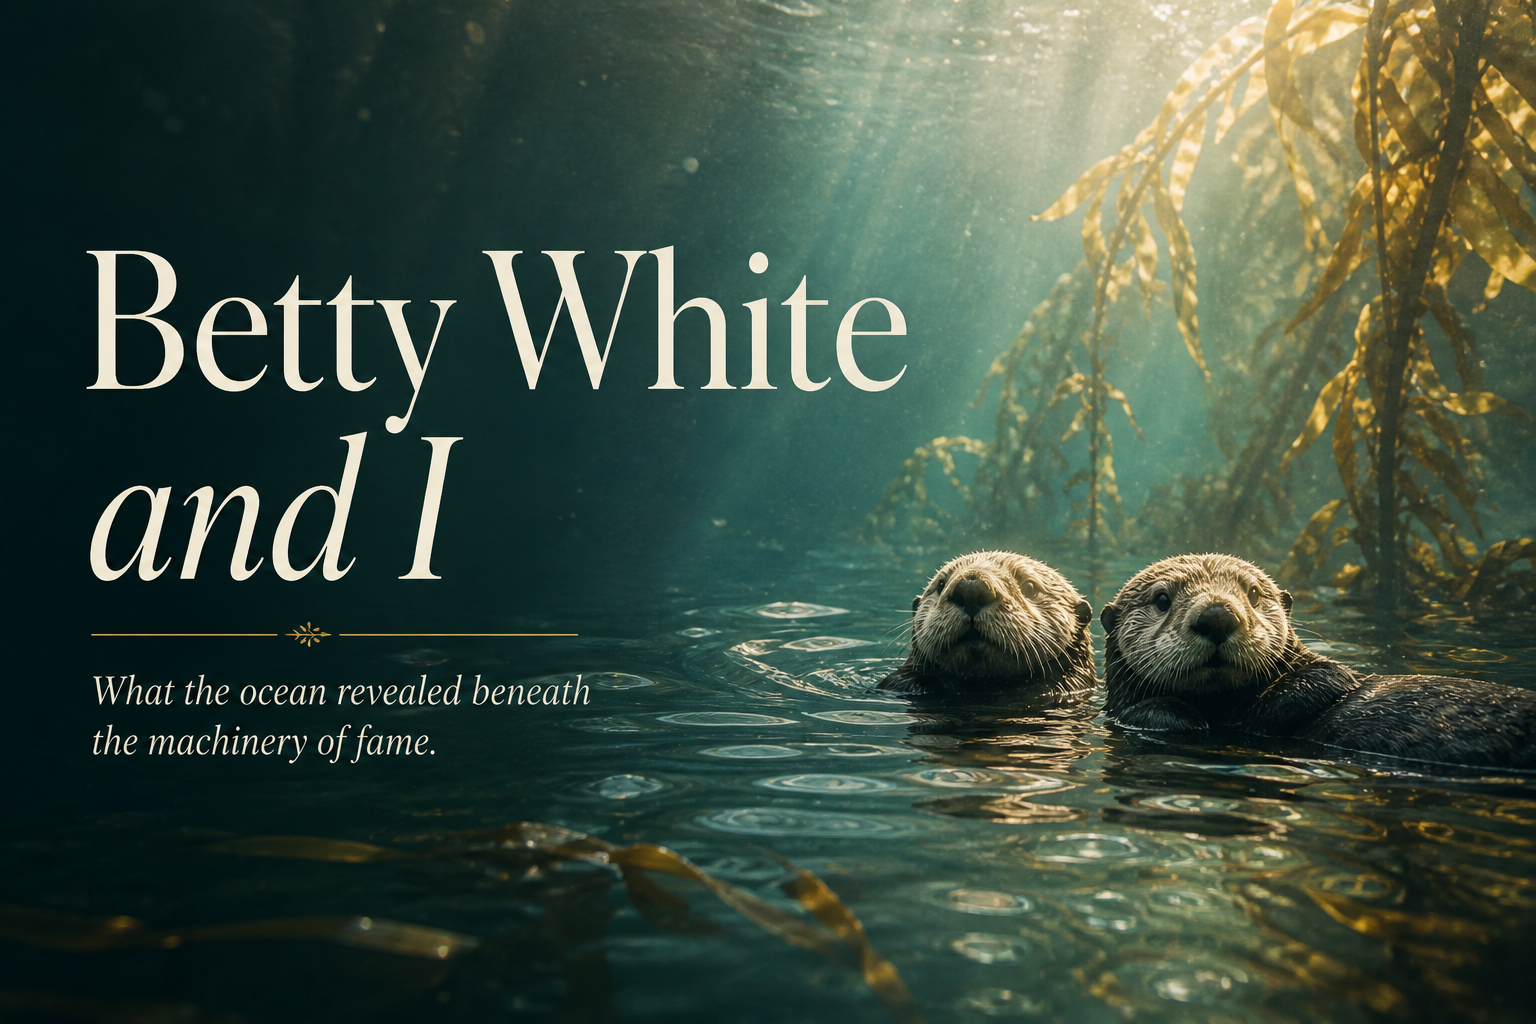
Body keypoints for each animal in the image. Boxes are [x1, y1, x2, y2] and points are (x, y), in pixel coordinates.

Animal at [1100, 553, 1536, 770]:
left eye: (1253, 593)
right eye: (1162, 599)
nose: (1218, 616)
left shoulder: (1328, 675)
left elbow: (1323, 680)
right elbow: (1152, 712)